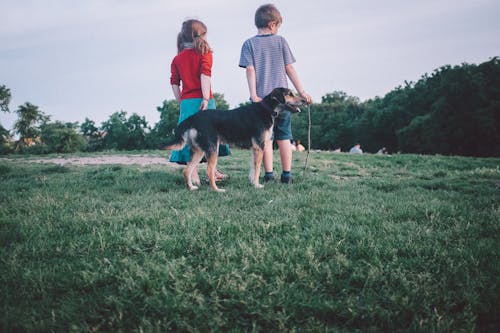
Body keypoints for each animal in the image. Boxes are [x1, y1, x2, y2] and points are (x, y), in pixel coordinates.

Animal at [165, 87, 304, 192]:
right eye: (290, 94)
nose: (304, 100)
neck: (267, 108)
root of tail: (193, 118)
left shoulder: (254, 149)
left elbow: (253, 168)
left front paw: (252, 183)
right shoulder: (259, 146)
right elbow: (258, 169)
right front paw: (257, 185)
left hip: (199, 151)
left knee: (187, 170)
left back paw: (191, 187)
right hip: (212, 150)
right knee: (209, 171)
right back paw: (217, 190)